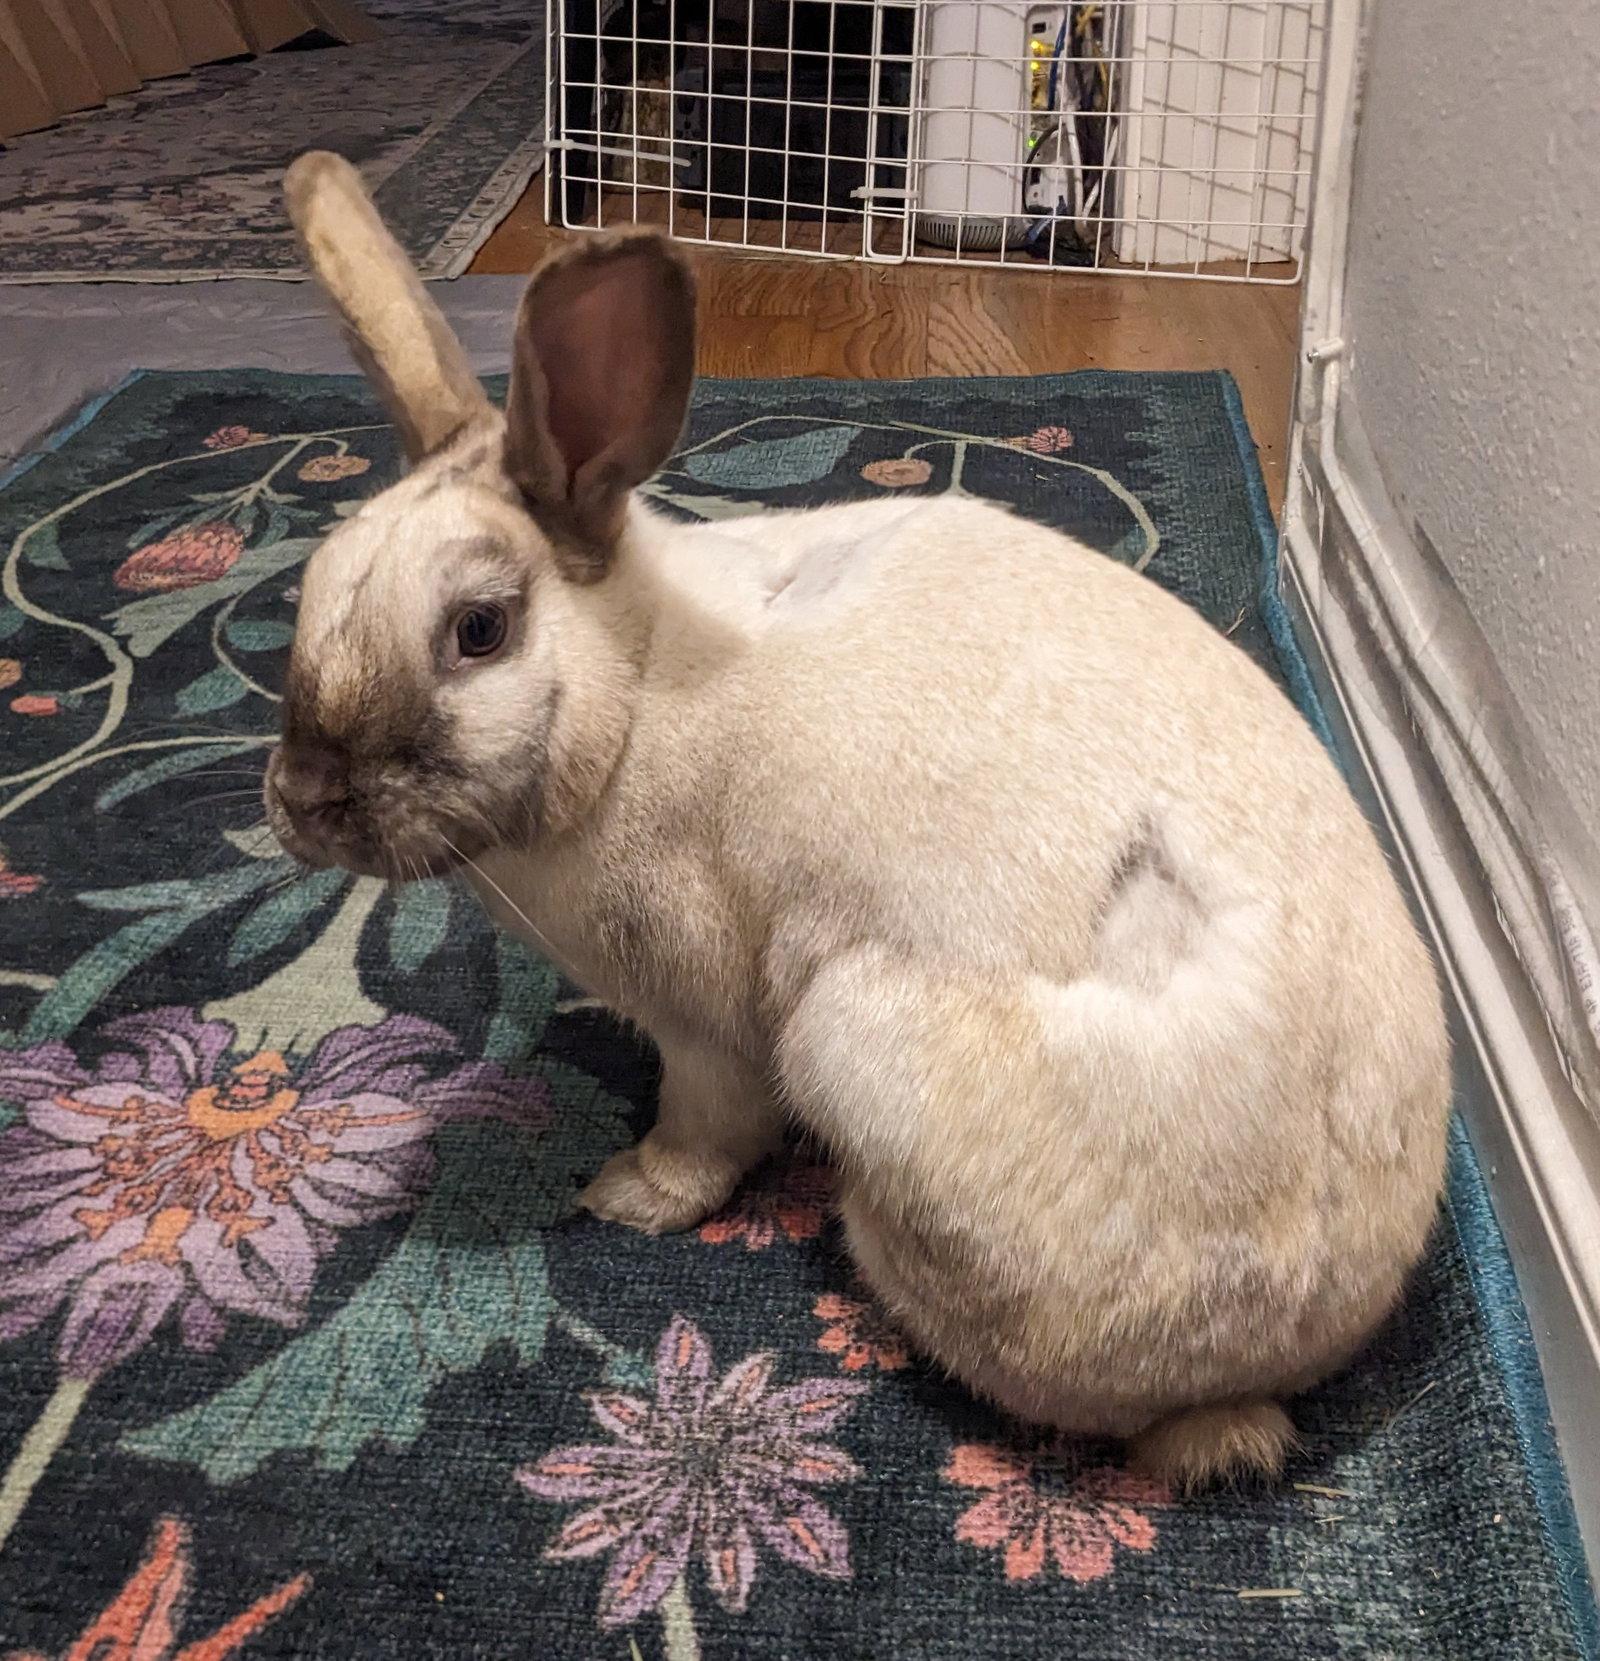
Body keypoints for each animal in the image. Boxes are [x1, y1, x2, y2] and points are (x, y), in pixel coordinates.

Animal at [267, 151, 1451, 1490]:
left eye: (478, 630)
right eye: (309, 587)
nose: (303, 803)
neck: (635, 689)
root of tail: (1257, 1376)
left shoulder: (703, 1017)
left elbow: (705, 1129)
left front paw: (624, 1193)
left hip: (849, 1040)